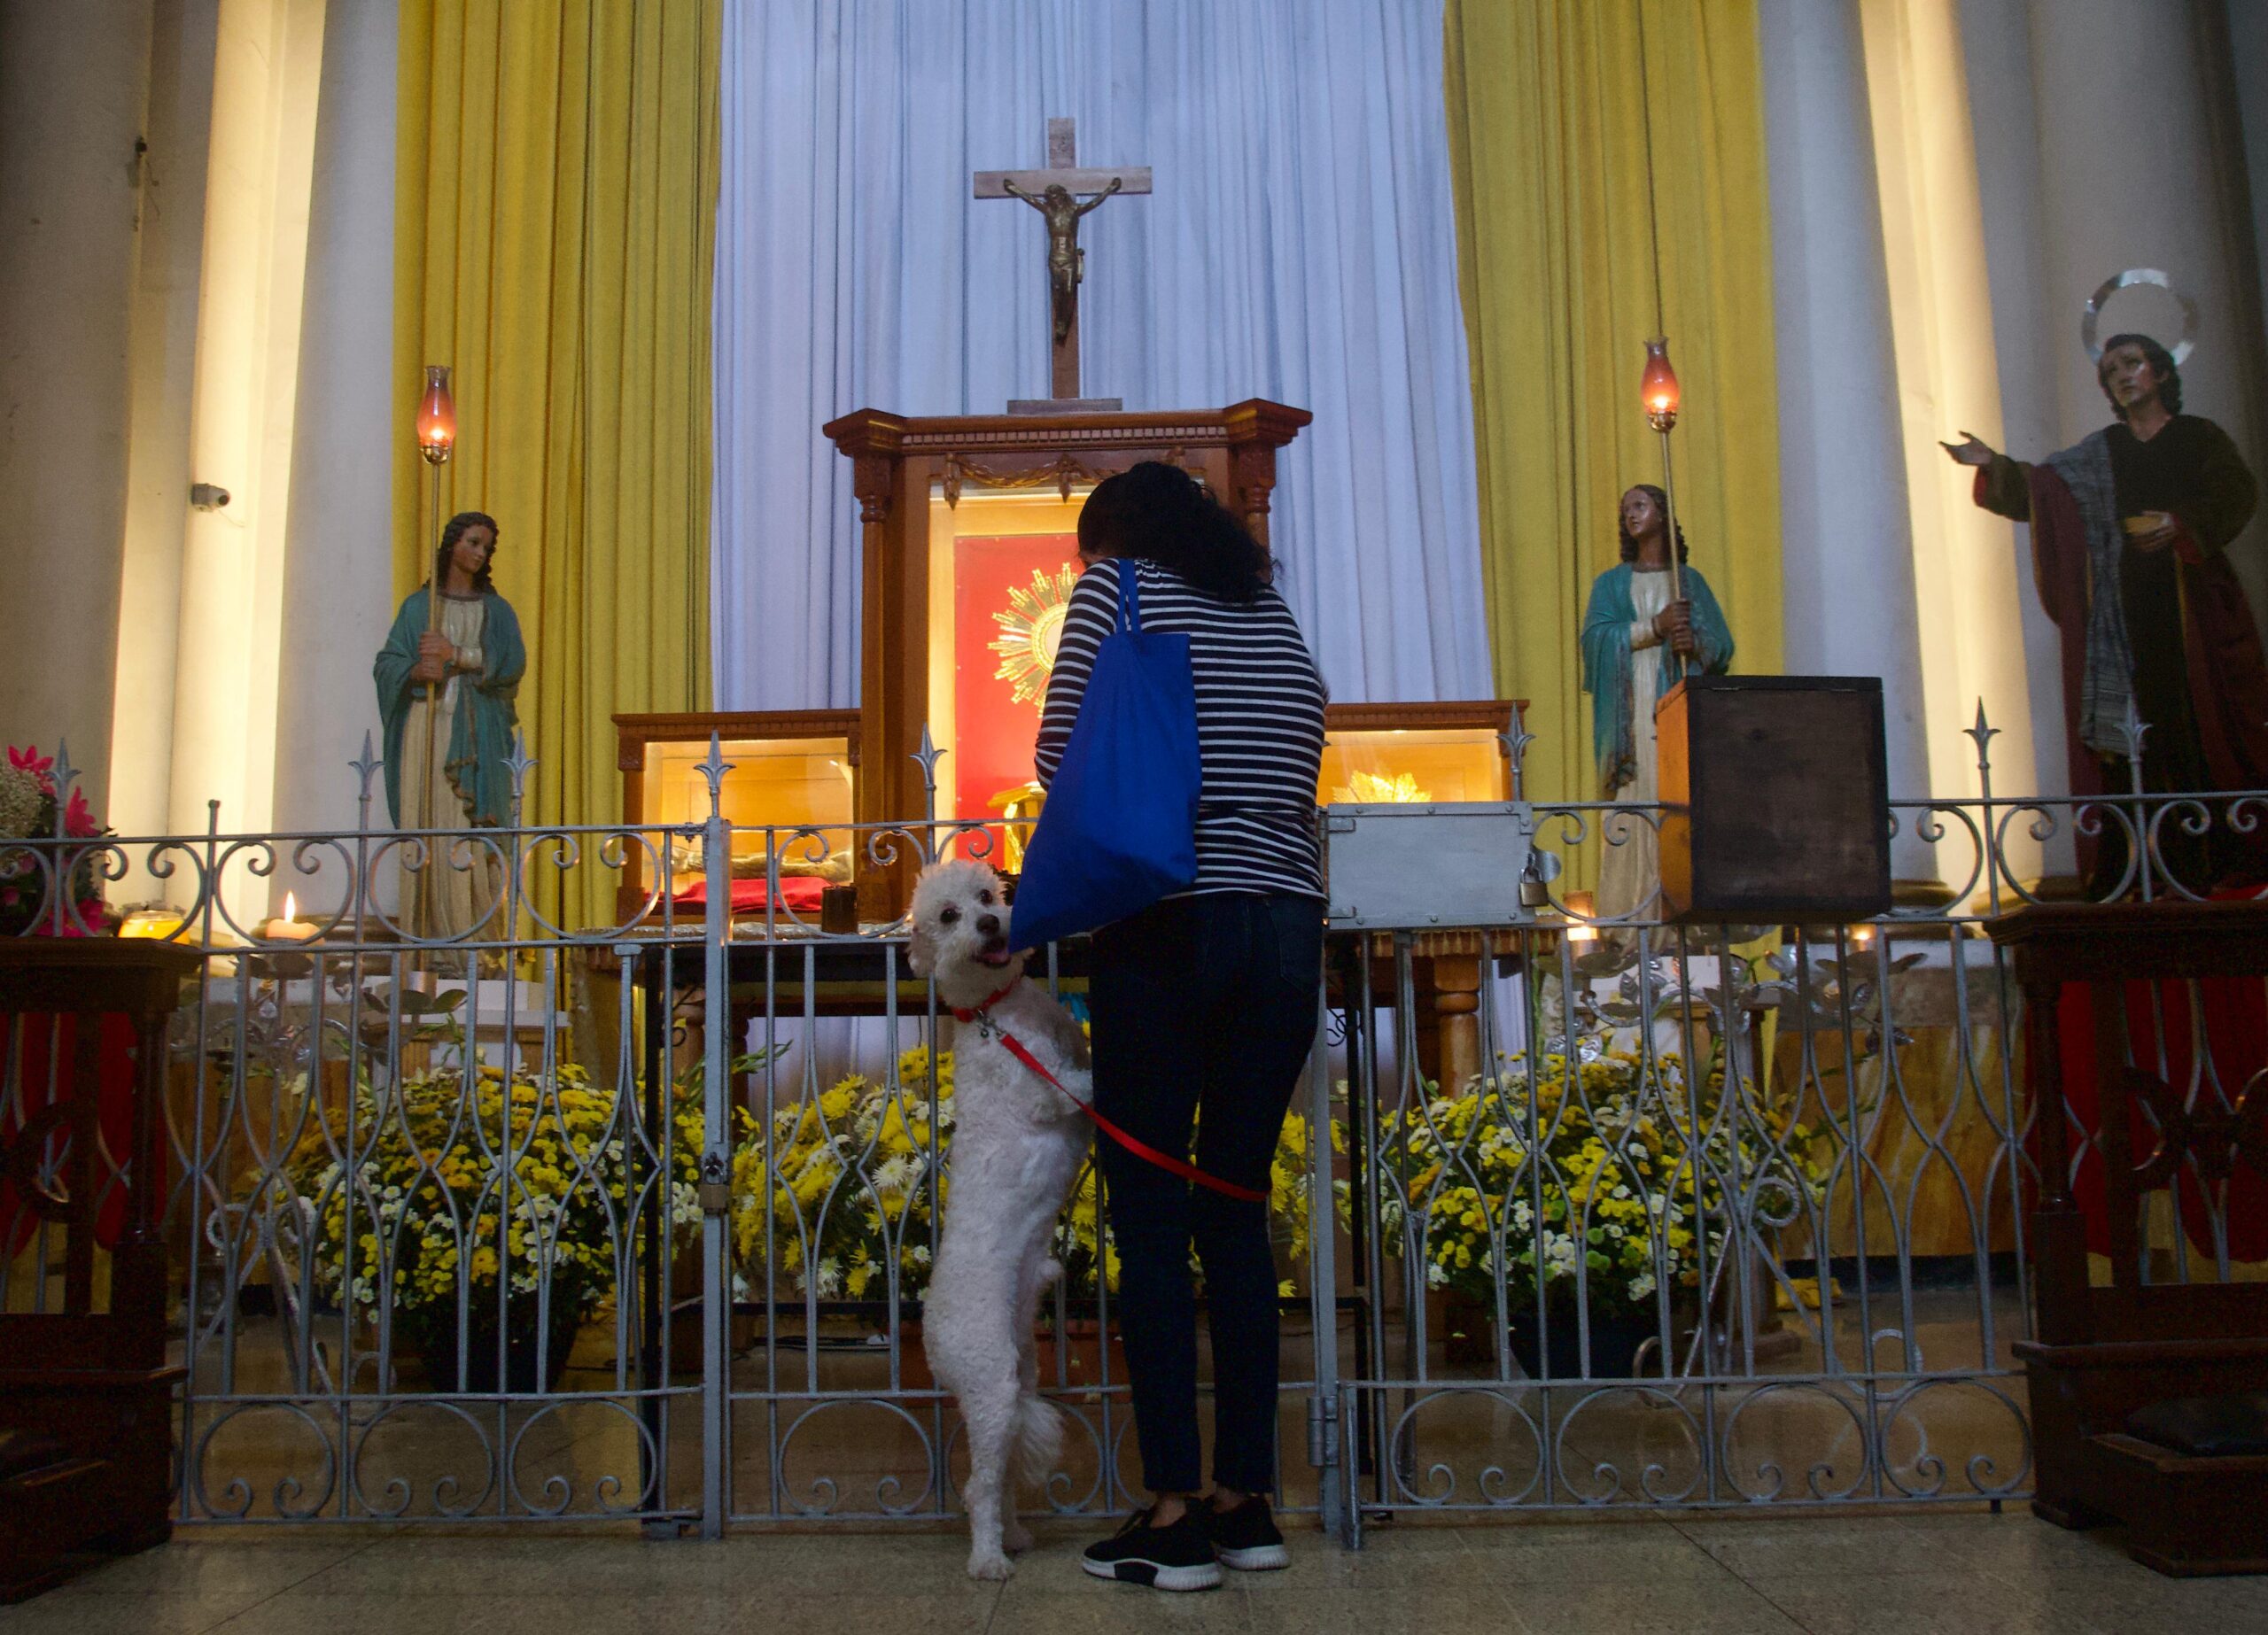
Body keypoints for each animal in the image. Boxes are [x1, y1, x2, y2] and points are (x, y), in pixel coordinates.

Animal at [902, 861, 1098, 1577]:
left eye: (987, 895)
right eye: (948, 917)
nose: (989, 923)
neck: (994, 1014)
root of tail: (931, 1337)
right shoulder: (1044, 1092)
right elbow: (1079, 1084)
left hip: (1016, 1383)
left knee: (1002, 1474)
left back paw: (1013, 1535)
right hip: (988, 1384)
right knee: (979, 1485)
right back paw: (988, 1559)